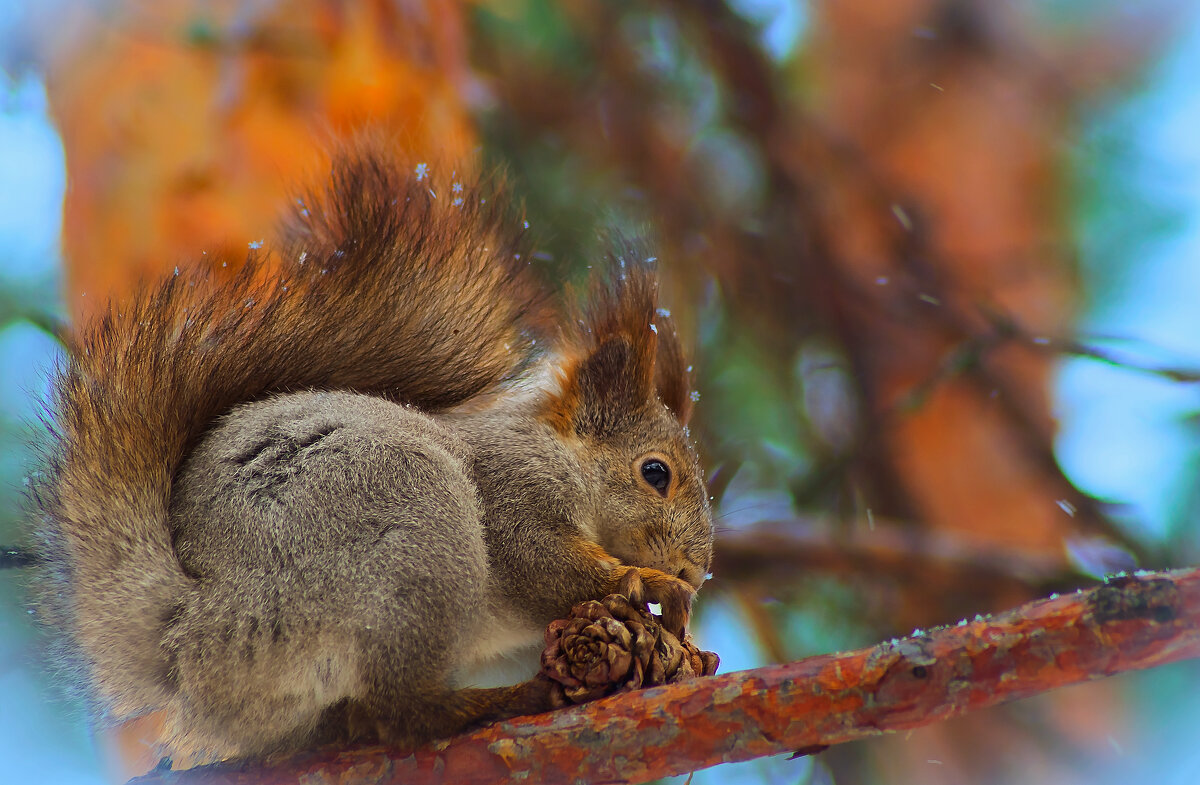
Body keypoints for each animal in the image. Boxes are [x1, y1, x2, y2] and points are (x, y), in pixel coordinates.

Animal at [30, 144, 710, 768]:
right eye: (656, 473)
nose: (698, 570)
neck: (558, 454)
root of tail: (186, 635)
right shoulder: (511, 487)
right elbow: (542, 563)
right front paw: (654, 584)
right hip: (413, 530)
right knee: (406, 712)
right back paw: (506, 701)